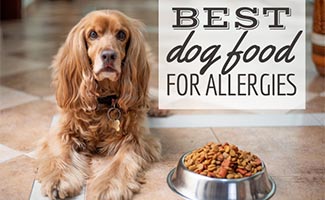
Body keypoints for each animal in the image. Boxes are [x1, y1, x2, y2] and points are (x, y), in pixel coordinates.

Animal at [36, 9, 161, 200]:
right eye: (93, 34)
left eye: (121, 34)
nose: (108, 55)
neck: (104, 101)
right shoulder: (62, 130)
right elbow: (61, 153)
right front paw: (58, 179)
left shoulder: (136, 139)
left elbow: (120, 163)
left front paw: (107, 187)